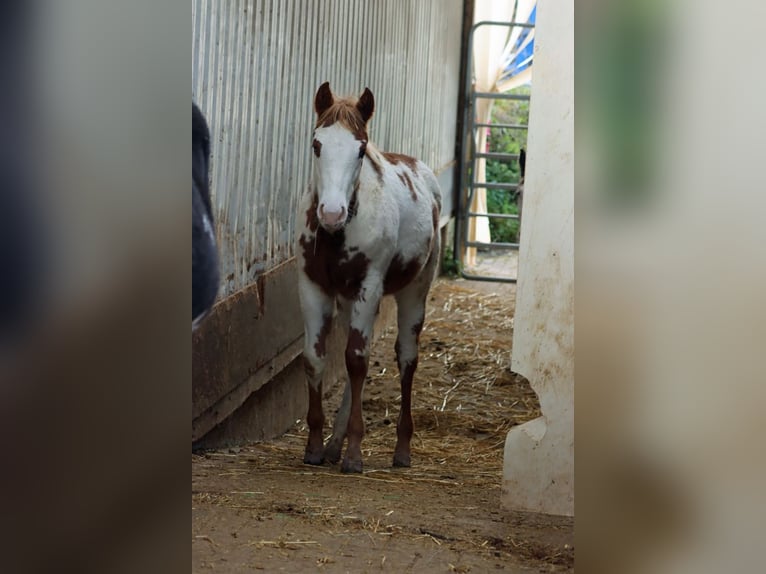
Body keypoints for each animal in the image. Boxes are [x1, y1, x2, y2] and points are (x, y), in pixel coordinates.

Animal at [296, 82, 442, 473]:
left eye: (361, 149)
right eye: (316, 144)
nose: (331, 213)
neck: (338, 235)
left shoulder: (369, 287)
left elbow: (358, 361)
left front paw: (354, 453)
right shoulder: (313, 287)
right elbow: (317, 357)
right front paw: (315, 447)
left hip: (414, 291)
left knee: (406, 358)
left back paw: (401, 450)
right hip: (350, 300)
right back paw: (333, 445)